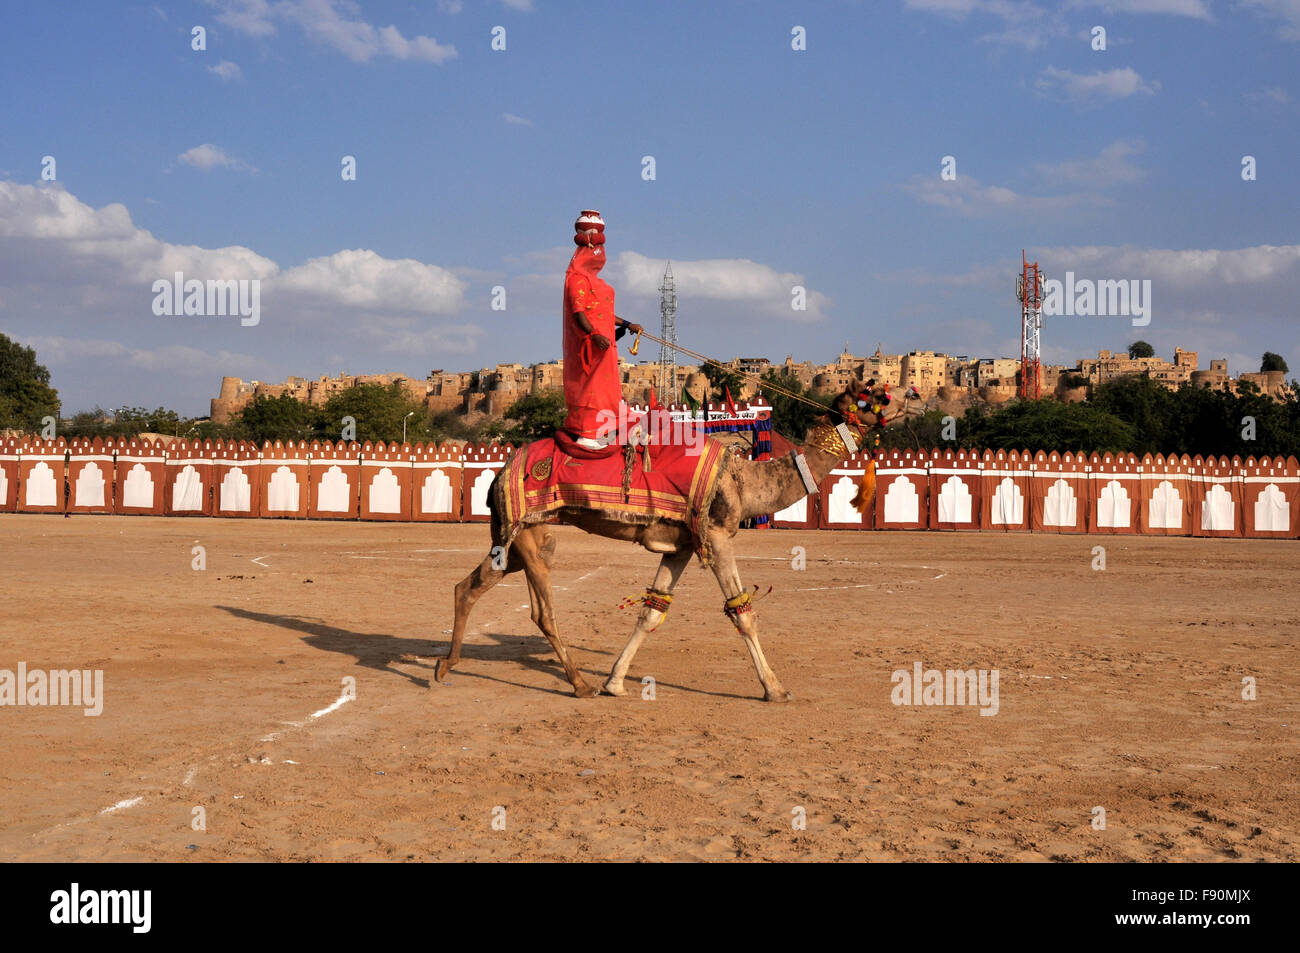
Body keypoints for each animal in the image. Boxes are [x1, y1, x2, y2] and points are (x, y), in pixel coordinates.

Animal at [434, 379, 915, 696]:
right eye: (875, 394)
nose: (911, 397)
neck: (744, 481)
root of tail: (499, 473)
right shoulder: (716, 535)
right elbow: (743, 612)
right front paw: (775, 688)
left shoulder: (683, 546)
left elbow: (651, 610)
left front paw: (615, 681)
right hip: (524, 531)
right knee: (542, 612)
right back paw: (578, 683)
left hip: (520, 537)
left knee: (469, 586)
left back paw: (445, 666)